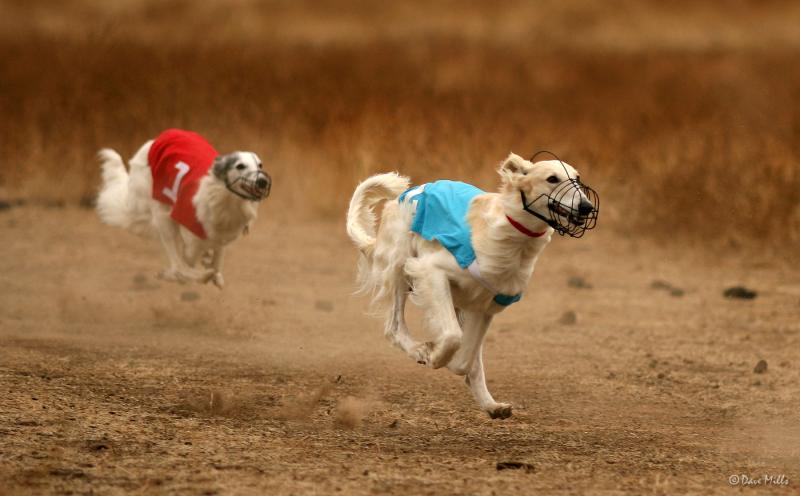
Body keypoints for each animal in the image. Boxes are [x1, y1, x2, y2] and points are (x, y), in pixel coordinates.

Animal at [96, 129, 271, 288]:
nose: (263, 182)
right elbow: (189, 261)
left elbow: (216, 261)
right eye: (240, 166)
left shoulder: (221, 237)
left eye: (260, 165)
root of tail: (157, 139)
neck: (223, 198)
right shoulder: (190, 236)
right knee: (177, 265)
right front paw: (199, 272)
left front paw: (212, 267)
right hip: (161, 214)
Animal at [346, 152, 598, 418]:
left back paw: (492, 405)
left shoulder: (484, 305)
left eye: (577, 178)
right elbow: (453, 338)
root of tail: (404, 195)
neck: (511, 240)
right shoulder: (431, 270)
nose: (587, 206)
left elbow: (465, 360)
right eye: (552, 178)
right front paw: (435, 356)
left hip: (457, 303)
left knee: (471, 359)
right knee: (393, 328)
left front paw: (449, 361)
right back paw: (419, 350)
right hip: (400, 265)